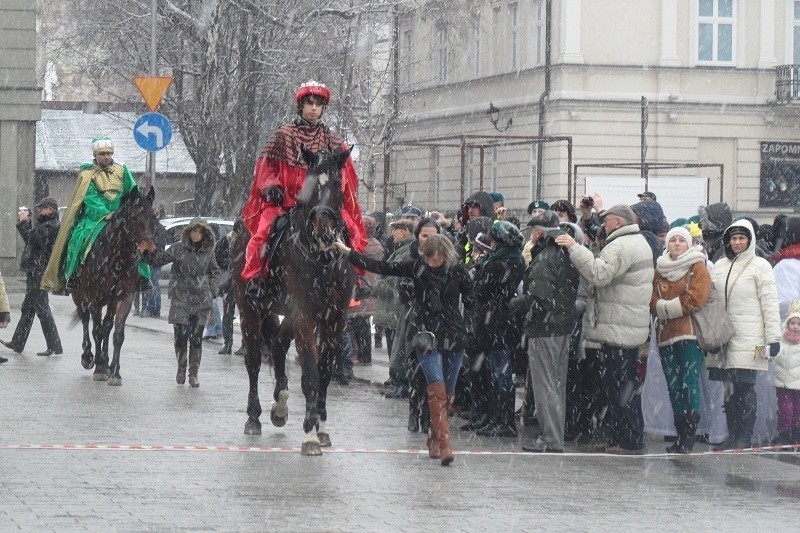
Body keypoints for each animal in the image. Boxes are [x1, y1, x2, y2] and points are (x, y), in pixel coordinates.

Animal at [71, 185, 157, 384]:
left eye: (154, 217)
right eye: (133, 217)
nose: (148, 253)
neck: (115, 257)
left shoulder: (124, 297)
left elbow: (117, 333)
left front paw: (114, 372)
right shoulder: (93, 298)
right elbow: (96, 330)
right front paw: (99, 368)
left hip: (109, 301)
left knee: (107, 326)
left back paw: (104, 361)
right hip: (79, 296)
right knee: (86, 320)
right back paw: (88, 357)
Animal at [233, 148, 354, 456]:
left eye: (338, 184)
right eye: (309, 185)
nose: (324, 232)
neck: (322, 260)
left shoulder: (335, 320)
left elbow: (325, 371)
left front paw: (321, 427)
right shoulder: (305, 316)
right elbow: (310, 372)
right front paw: (310, 434)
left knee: (277, 344)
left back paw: (280, 405)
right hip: (250, 309)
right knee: (254, 360)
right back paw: (254, 417)